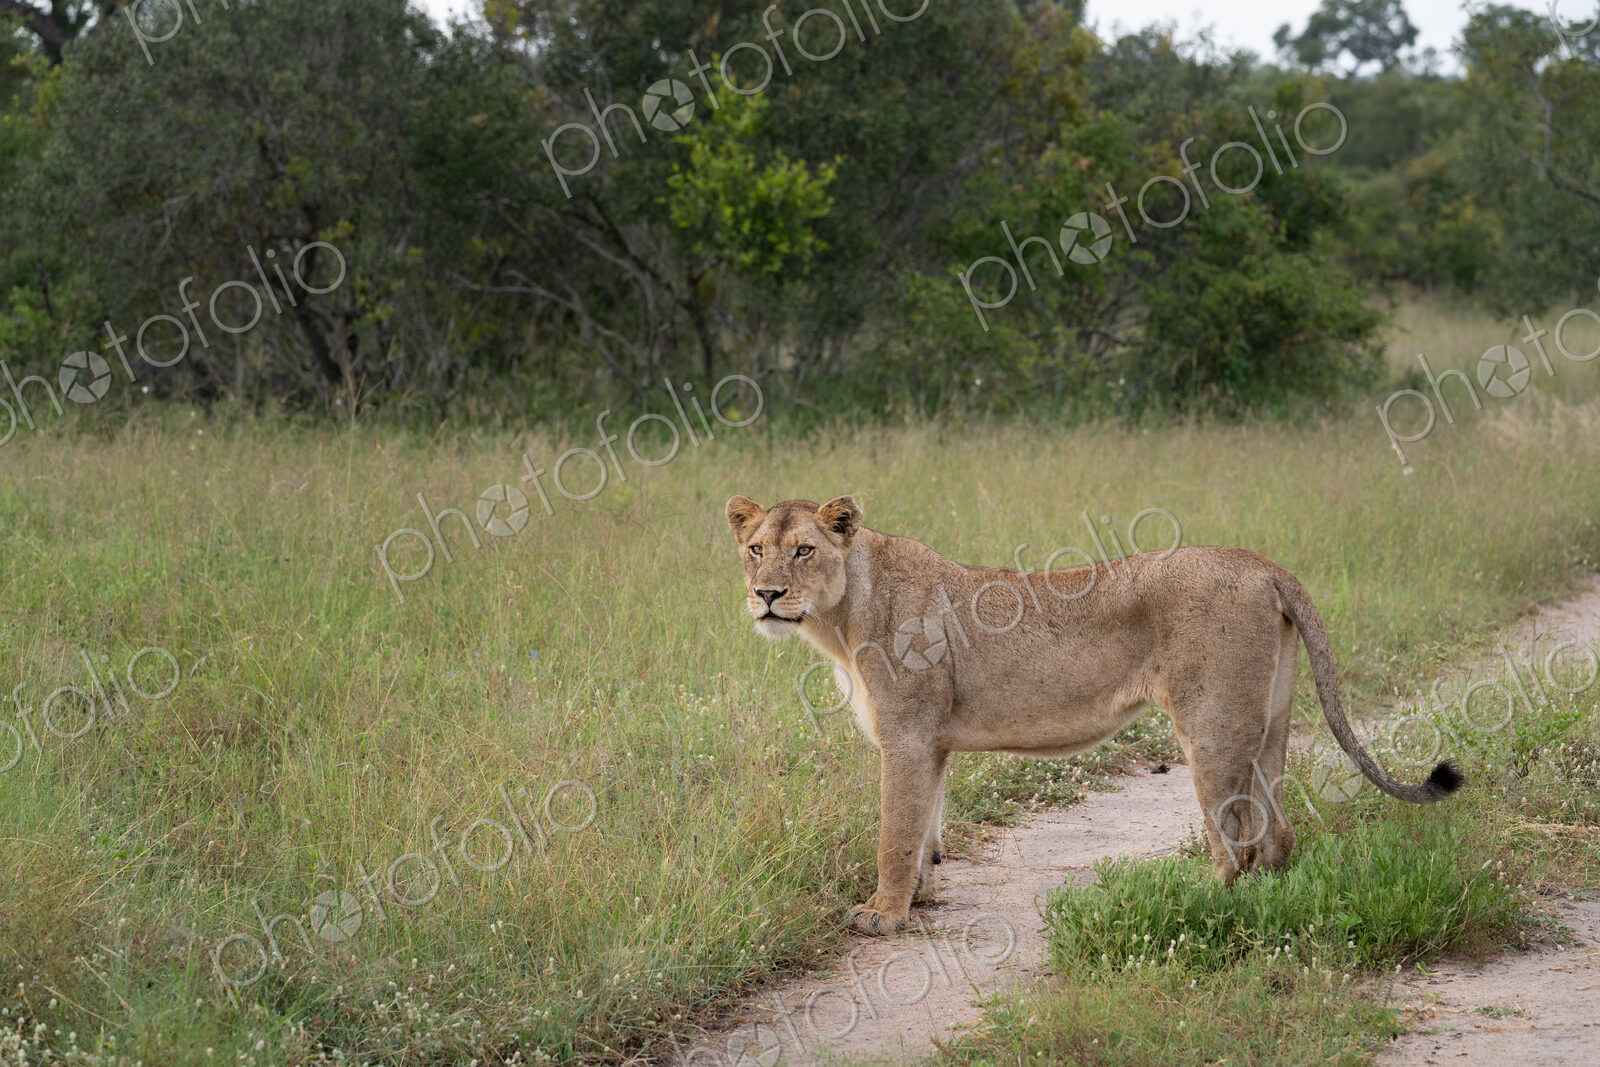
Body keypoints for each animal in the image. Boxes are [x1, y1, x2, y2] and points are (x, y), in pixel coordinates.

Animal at [725, 494, 1462, 936]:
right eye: (757, 548)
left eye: (805, 550)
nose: (766, 595)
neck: (841, 616)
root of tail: (1261, 563)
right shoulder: (930, 743)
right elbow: (926, 827)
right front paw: (922, 896)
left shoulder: (906, 736)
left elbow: (894, 834)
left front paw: (882, 914)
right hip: (1271, 723)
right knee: (1277, 831)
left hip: (1212, 728)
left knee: (1236, 837)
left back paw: (1197, 897)